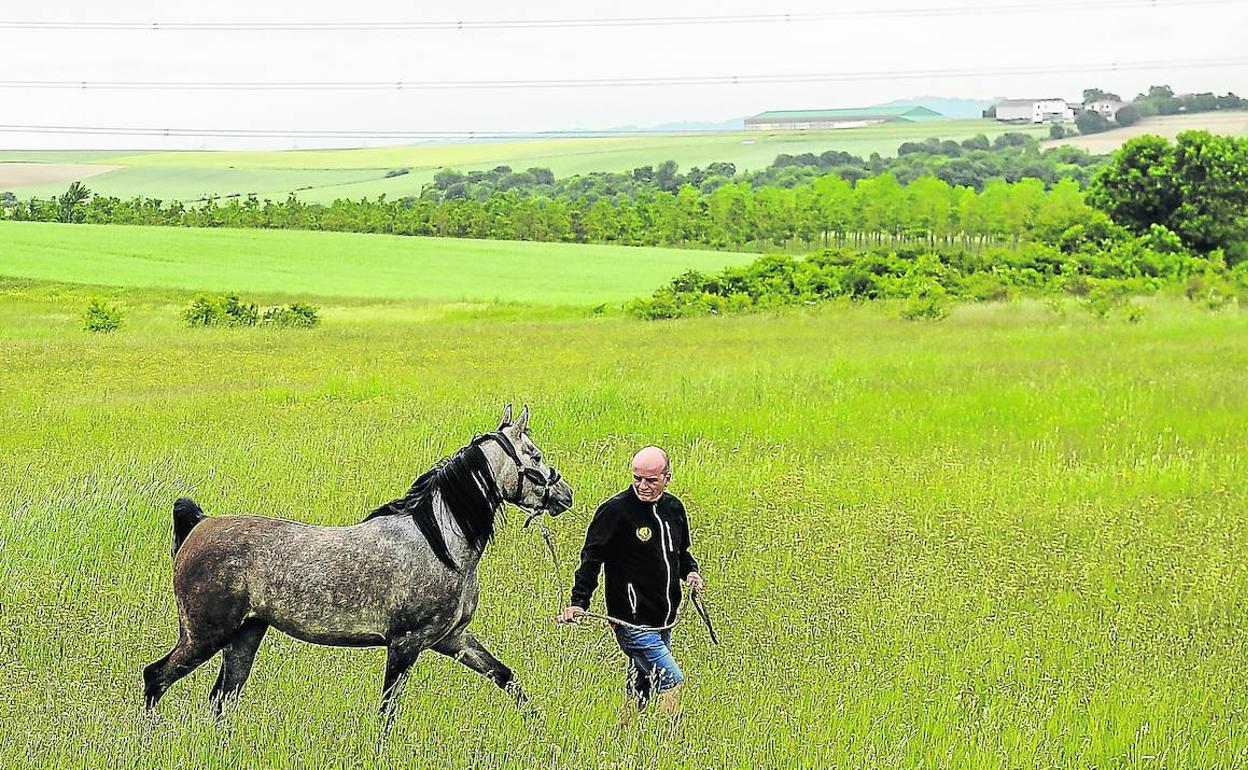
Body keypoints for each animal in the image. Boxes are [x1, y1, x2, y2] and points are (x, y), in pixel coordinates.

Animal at [142, 404, 574, 718]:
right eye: (534, 455)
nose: (566, 494)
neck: (441, 545)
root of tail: (199, 524)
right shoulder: (405, 645)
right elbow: (386, 711)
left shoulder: (451, 639)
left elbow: (506, 677)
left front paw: (539, 726)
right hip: (204, 635)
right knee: (156, 677)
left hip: (245, 634)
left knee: (221, 699)